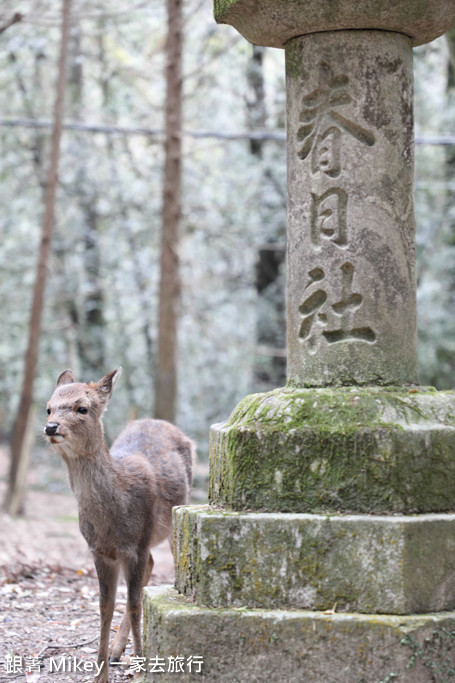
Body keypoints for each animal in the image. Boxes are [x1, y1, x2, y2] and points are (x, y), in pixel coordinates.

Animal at [43, 372, 197, 680]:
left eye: (82, 408)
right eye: (48, 408)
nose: (51, 426)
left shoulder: (135, 546)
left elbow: (137, 604)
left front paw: (140, 670)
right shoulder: (99, 551)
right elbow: (105, 606)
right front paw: (100, 674)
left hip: (173, 523)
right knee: (151, 565)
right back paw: (116, 651)